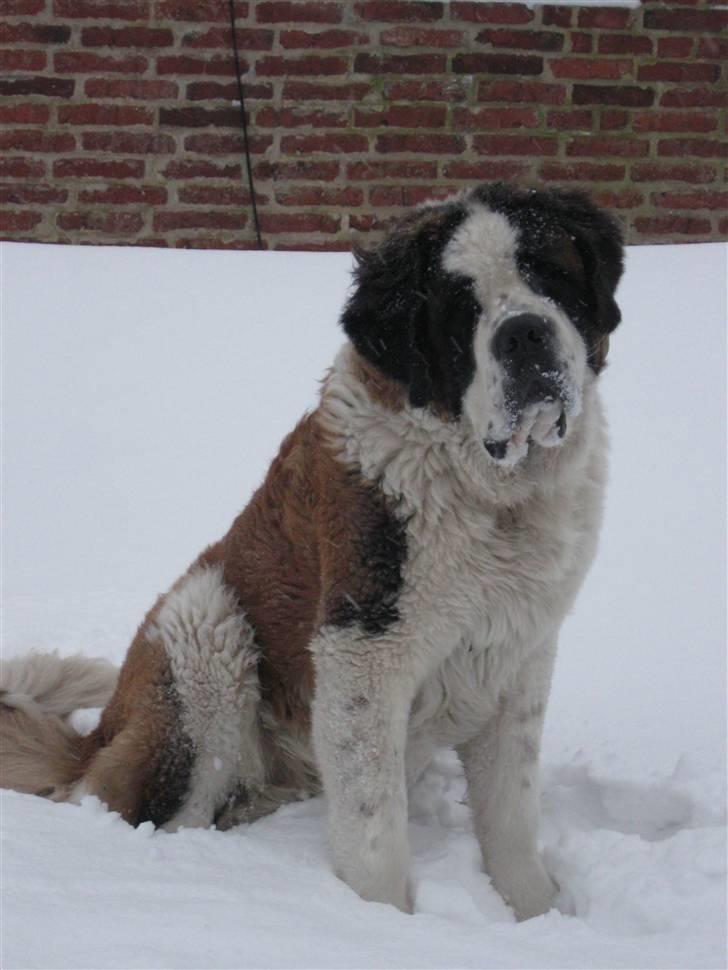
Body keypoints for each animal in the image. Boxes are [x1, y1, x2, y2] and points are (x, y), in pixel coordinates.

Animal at [1, 185, 624, 920]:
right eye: (460, 307)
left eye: (550, 274)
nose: (525, 333)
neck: (491, 495)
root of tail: (101, 733)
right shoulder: (362, 653)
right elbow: (374, 825)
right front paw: (382, 923)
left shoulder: (518, 655)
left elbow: (511, 814)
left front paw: (534, 915)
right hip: (203, 630)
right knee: (144, 805)